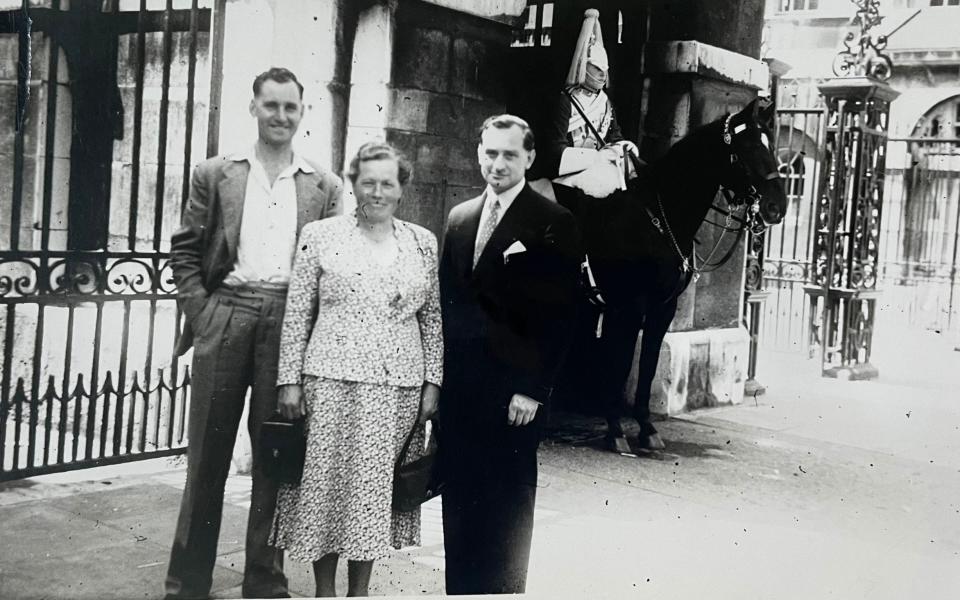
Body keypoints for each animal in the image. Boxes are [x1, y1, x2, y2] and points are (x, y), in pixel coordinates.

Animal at [548, 98, 788, 452]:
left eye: (770, 144)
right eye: (746, 147)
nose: (777, 208)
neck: (659, 219)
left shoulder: (663, 307)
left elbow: (647, 365)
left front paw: (647, 429)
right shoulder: (629, 307)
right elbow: (620, 362)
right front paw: (616, 430)